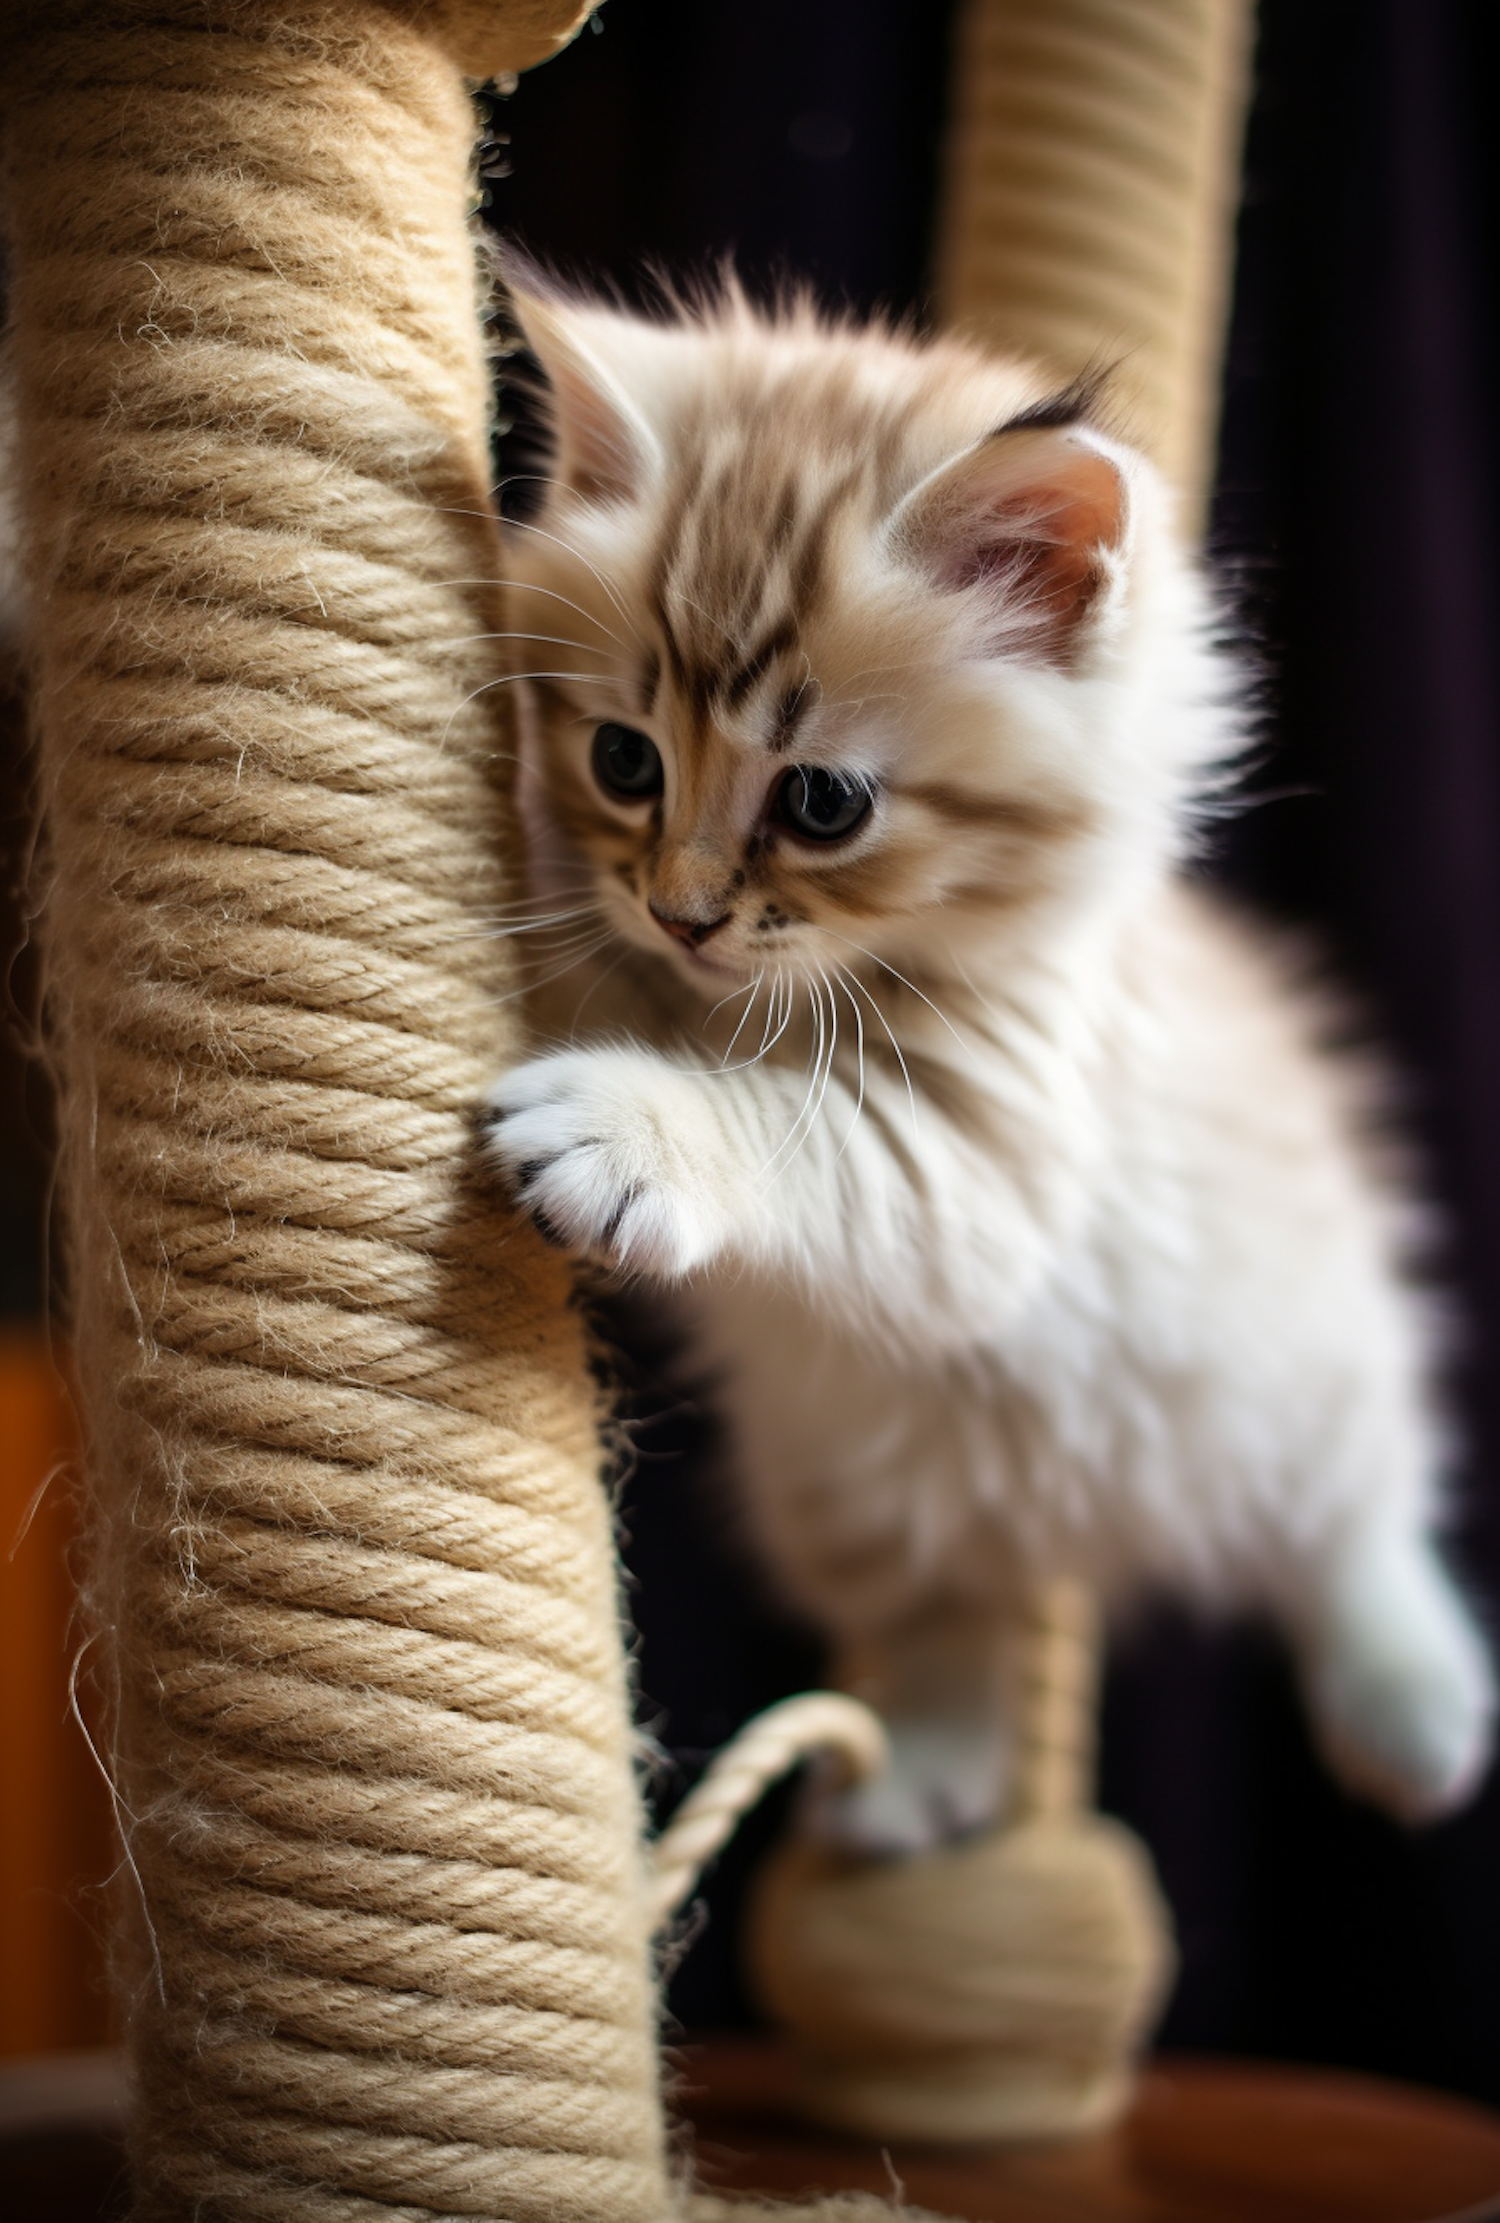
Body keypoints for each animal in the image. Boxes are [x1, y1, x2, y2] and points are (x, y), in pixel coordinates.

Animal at [486, 286, 1493, 1849]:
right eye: (625, 762)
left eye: (822, 803)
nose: (685, 910)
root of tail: (1084, 1535)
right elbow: (588, 971)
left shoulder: (992, 1159)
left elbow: (790, 1128)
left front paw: (619, 1133)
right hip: (853, 1497)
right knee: (945, 1640)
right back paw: (915, 1785)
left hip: (1309, 1383)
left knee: (1359, 1524)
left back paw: (1414, 1708)